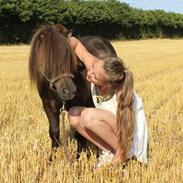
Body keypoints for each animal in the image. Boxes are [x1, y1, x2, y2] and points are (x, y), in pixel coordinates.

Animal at [29, 24, 116, 159]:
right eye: (49, 60)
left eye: (70, 58)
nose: (69, 91)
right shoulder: (48, 106)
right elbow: (54, 132)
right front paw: (52, 158)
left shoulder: (77, 107)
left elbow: (79, 134)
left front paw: (79, 157)